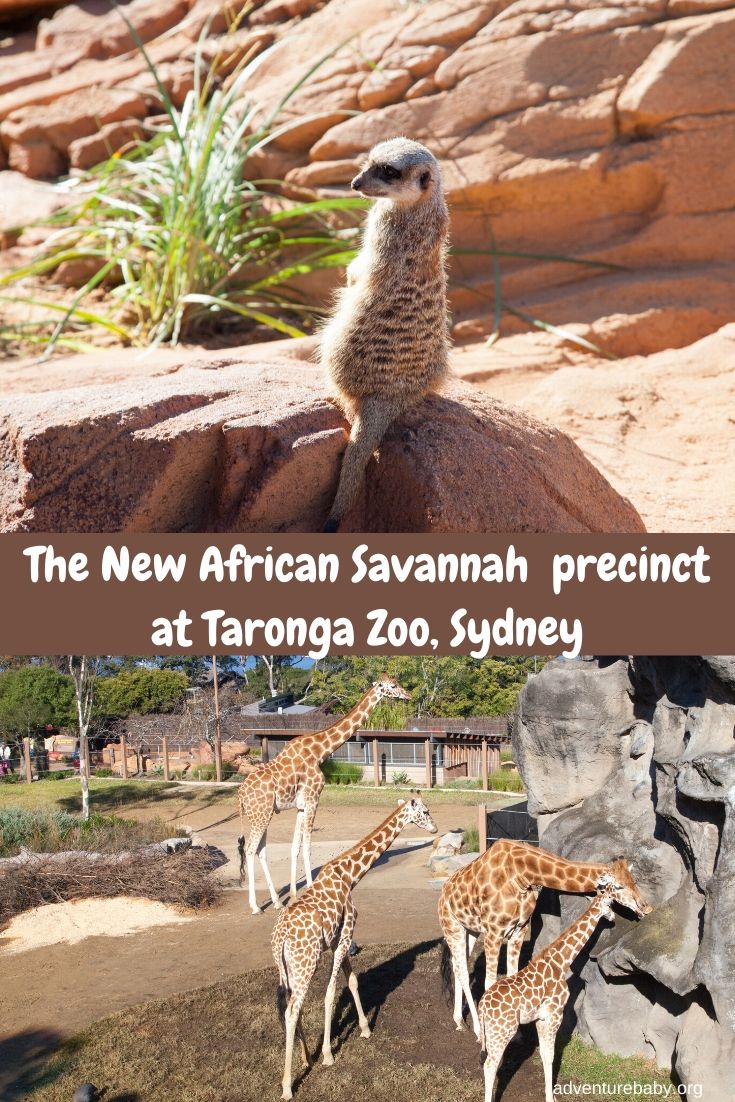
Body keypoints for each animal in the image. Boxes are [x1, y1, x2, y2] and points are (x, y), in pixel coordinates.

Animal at [235, 674, 412, 916]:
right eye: (393, 686)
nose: (408, 695)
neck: (320, 751)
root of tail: (240, 794)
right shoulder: (313, 799)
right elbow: (308, 846)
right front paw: (311, 890)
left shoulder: (302, 805)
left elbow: (295, 847)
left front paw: (293, 895)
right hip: (260, 814)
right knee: (251, 849)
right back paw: (255, 906)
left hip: (263, 814)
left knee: (261, 850)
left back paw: (277, 901)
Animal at [273, 797, 440, 1097]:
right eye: (425, 811)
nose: (435, 828)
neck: (348, 876)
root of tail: (280, 937)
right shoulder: (345, 935)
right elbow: (330, 993)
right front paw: (328, 1055)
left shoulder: (338, 940)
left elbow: (352, 981)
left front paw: (364, 1029)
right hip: (305, 964)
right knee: (292, 1010)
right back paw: (288, 1086)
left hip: (288, 968)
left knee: (289, 1006)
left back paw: (306, 1058)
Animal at [436, 837, 647, 1035]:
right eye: (618, 887)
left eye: (634, 881)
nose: (645, 907)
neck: (523, 875)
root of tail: (444, 890)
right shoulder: (494, 932)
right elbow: (490, 982)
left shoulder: (519, 929)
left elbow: (512, 977)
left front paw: (517, 1034)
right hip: (452, 925)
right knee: (462, 970)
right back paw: (477, 1029)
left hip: (471, 929)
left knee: (458, 965)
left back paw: (459, 1021)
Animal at [480, 877, 652, 1102]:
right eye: (611, 903)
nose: (613, 918)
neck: (560, 963)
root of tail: (482, 1006)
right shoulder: (555, 1014)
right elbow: (550, 1055)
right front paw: (550, 1097)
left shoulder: (540, 1017)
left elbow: (544, 1054)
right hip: (502, 1030)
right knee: (490, 1064)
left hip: (491, 1031)